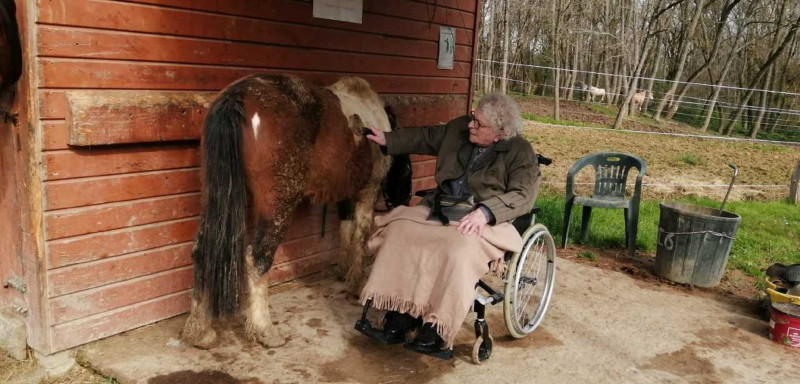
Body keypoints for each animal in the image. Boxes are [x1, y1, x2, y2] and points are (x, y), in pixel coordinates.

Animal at [181, 73, 406, 350]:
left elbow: (346, 229)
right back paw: (265, 330)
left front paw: (343, 271)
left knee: (202, 250)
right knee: (257, 259)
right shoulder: (368, 191)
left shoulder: (345, 193)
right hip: (277, 205)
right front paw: (357, 282)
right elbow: (361, 236)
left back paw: (199, 331)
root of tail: (239, 96)